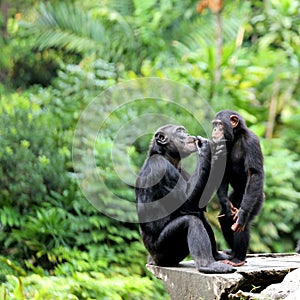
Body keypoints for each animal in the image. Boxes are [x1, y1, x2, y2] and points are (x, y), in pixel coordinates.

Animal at [135, 123, 236, 274]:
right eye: (180, 131)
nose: (189, 135)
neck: (165, 156)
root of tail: (153, 262)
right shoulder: (161, 168)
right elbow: (188, 203)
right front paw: (206, 148)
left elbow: (198, 203)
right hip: (164, 252)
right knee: (190, 221)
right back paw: (207, 265)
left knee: (200, 216)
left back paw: (217, 256)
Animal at [211, 110, 264, 268]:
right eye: (214, 124)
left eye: (219, 124)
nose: (214, 129)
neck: (236, 137)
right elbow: (221, 172)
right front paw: (226, 204)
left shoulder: (251, 142)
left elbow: (254, 174)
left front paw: (242, 214)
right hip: (235, 196)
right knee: (225, 219)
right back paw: (232, 252)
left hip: (256, 198)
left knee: (242, 225)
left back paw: (238, 259)